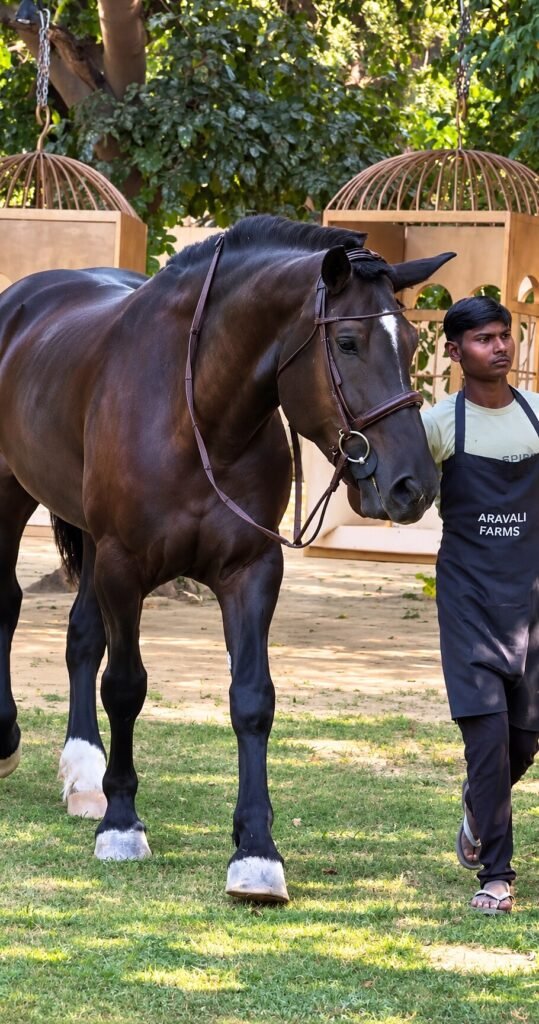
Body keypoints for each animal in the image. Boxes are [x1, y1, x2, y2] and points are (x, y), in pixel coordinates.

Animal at [0, 215, 453, 902]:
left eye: (410, 344)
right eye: (348, 343)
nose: (414, 486)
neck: (196, 416)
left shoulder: (251, 572)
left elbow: (252, 699)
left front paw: (257, 852)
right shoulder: (124, 567)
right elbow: (126, 686)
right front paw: (122, 825)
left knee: (81, 636)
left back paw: (84, 774)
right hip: (12, 496)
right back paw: (10, 743)